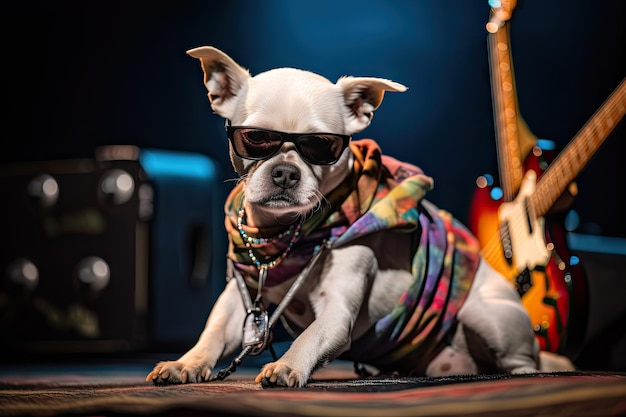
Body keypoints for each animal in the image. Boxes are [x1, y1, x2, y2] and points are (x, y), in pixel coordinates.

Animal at [145, 45, 572, 386]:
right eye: (256, 138)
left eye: (322, 145)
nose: (285, 172)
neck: (286, 239)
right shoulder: (238, 301)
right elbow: (213, 333)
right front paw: (186, 363)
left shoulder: (336, 312)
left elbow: (310, 335)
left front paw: (288, 365)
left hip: (487, 315)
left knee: (524, 362)